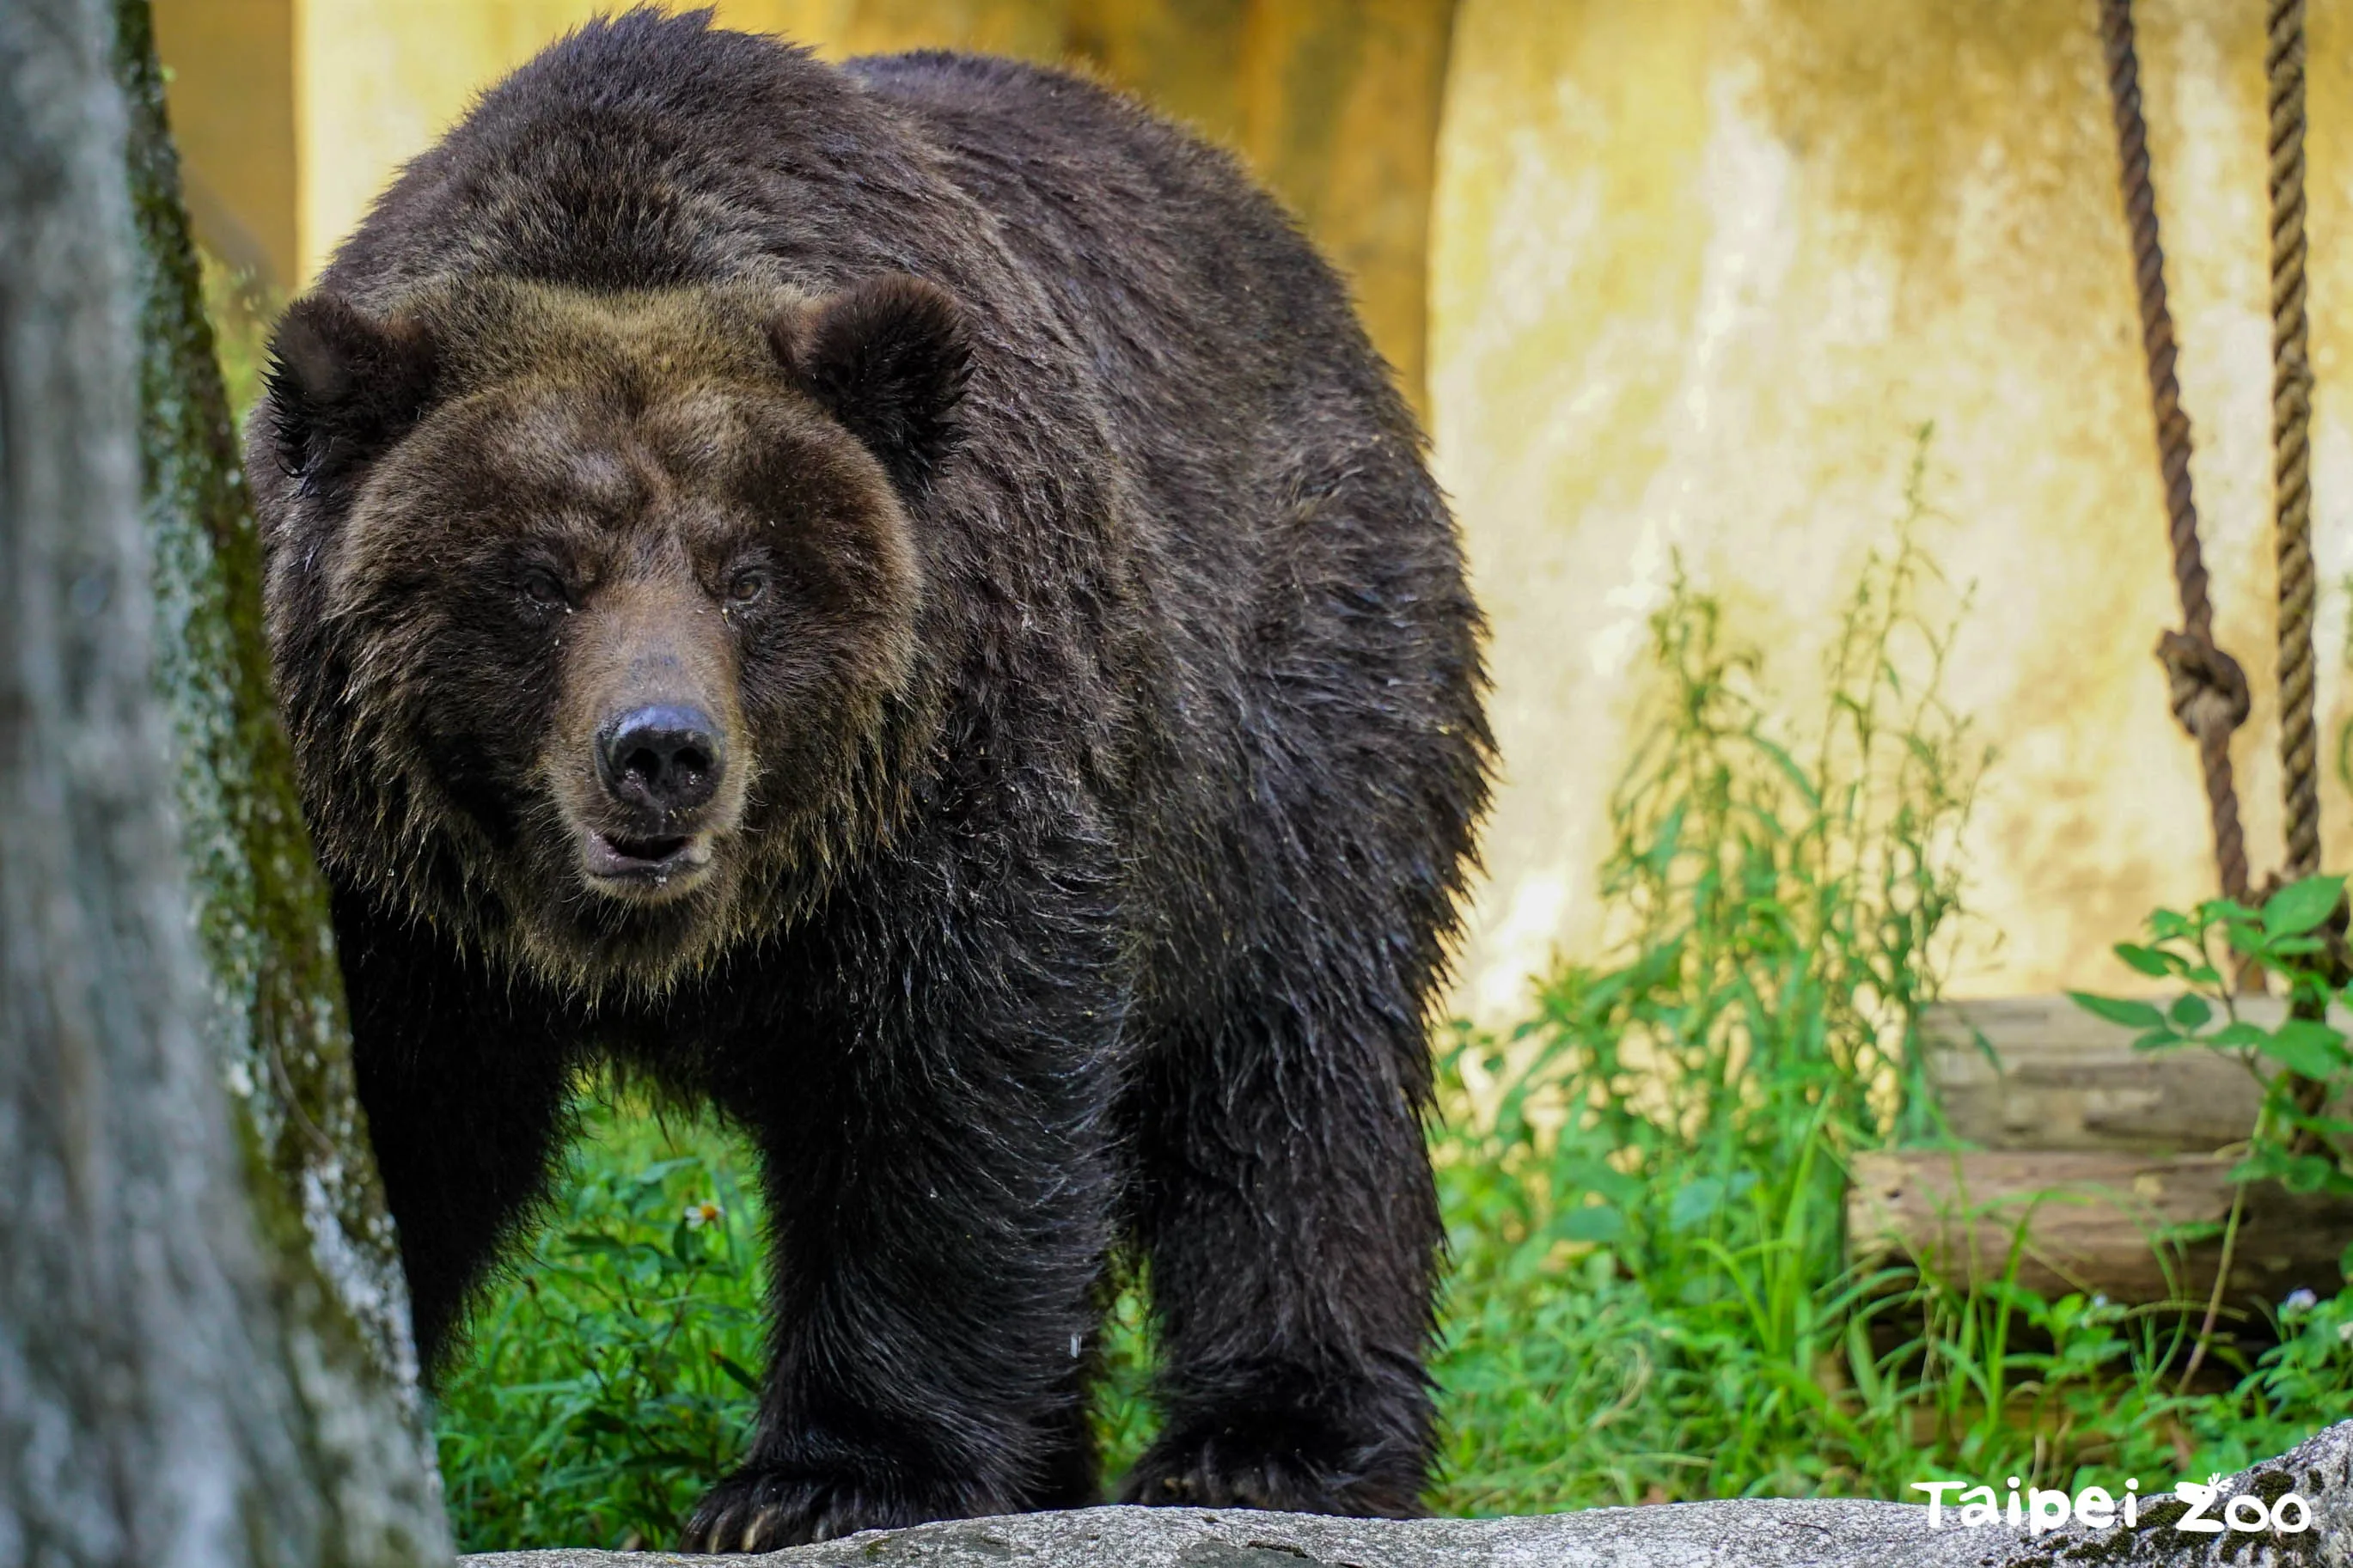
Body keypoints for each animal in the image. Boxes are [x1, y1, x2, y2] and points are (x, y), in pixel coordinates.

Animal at [249, 8, 1490, 1551]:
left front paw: (821, 1475)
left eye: (747, 574)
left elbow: (948, 1102)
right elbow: (390, 1113)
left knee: (1287, 1068)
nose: (660, 751)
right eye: (542, 574)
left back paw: (1268, 1444)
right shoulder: (386, 883)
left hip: (1288, 700)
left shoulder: (956, 778)